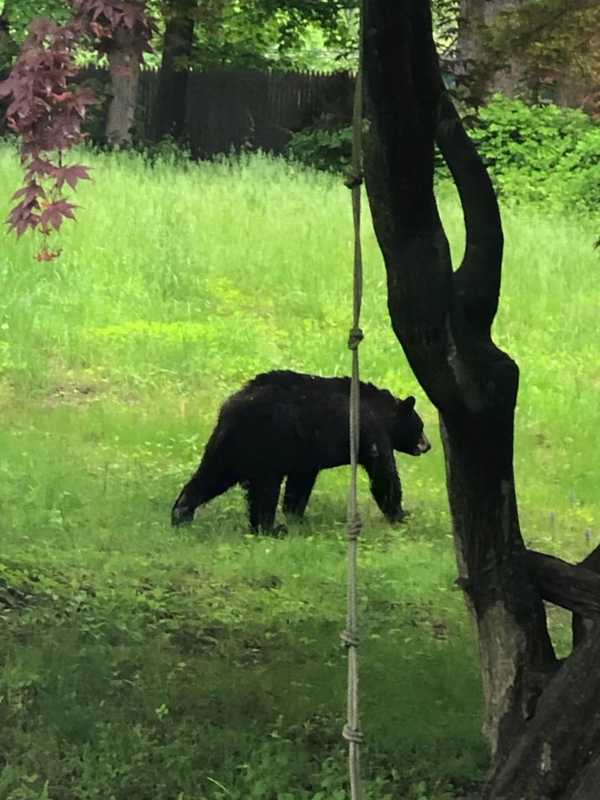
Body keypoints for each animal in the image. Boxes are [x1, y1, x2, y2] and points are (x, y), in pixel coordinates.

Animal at [171, 372, 428, 536]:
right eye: (420, 425)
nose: (428, 445)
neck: (382, 411)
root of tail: (231, 408)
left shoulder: (306, 457)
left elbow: (299, 485)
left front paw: (296, 516)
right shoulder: (371, 430)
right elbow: (384, 474)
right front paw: (401, 515)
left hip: (227, 446)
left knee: (210, 476)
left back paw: (181, 515)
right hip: (267, 444)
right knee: (264, 490)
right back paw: (270, 529)